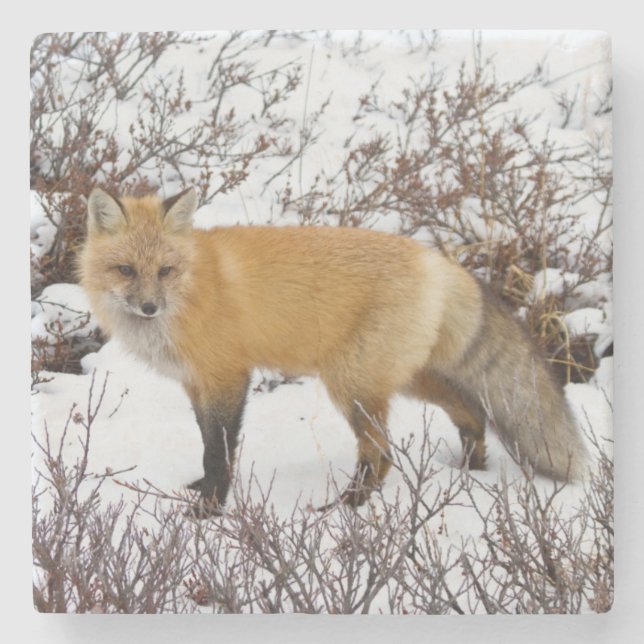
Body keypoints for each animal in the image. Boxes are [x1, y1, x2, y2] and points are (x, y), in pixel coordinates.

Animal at [78, 186, 587, 517]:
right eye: (125, 270)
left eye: (165, 271)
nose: (149, 307)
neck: (192, 292)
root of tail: (437, 261)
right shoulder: (196, 383)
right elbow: (208, 443)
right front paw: (202, 491)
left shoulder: (228, 376)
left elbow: (218, 451)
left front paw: (209, 510)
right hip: (402, 379)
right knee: (470, 411)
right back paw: (470, 469)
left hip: (352, 384)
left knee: (382, 454)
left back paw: (348, 508)